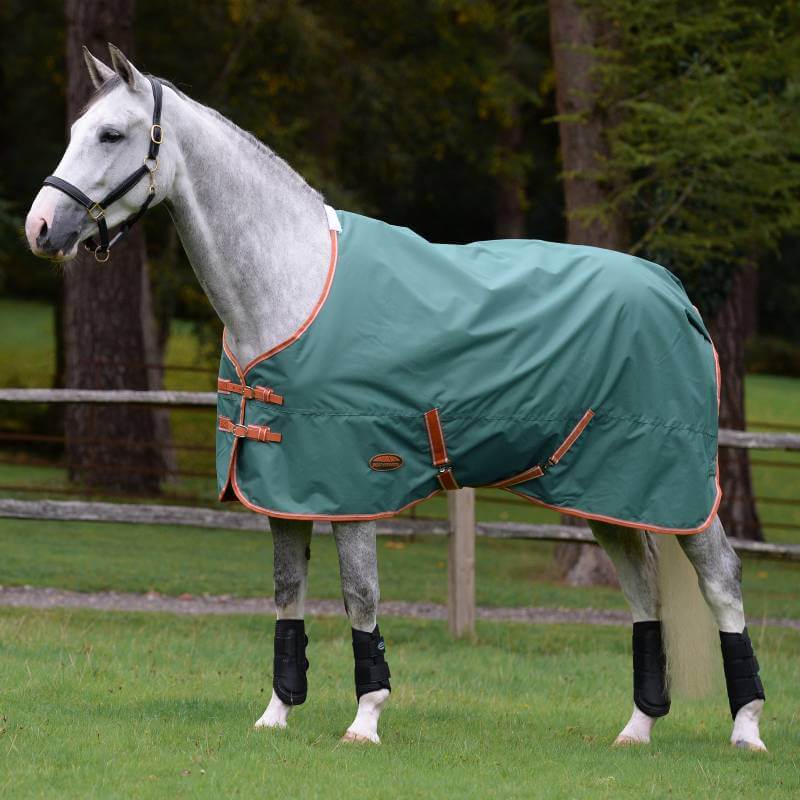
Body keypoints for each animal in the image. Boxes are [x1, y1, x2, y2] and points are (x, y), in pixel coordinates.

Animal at [25, 45, 766, 750]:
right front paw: (276, 714)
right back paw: (637, 729)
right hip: (607, 492)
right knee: (643, 587)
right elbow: (287, 595)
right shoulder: (281, 488)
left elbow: (360, 597)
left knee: (723, 580)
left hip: (678, 490)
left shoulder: (351, 484)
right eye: (74, 131)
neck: (292, 285)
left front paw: (366, 719)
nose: (39, 228)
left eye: (111, 134)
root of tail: (674, 292)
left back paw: (747, 729)